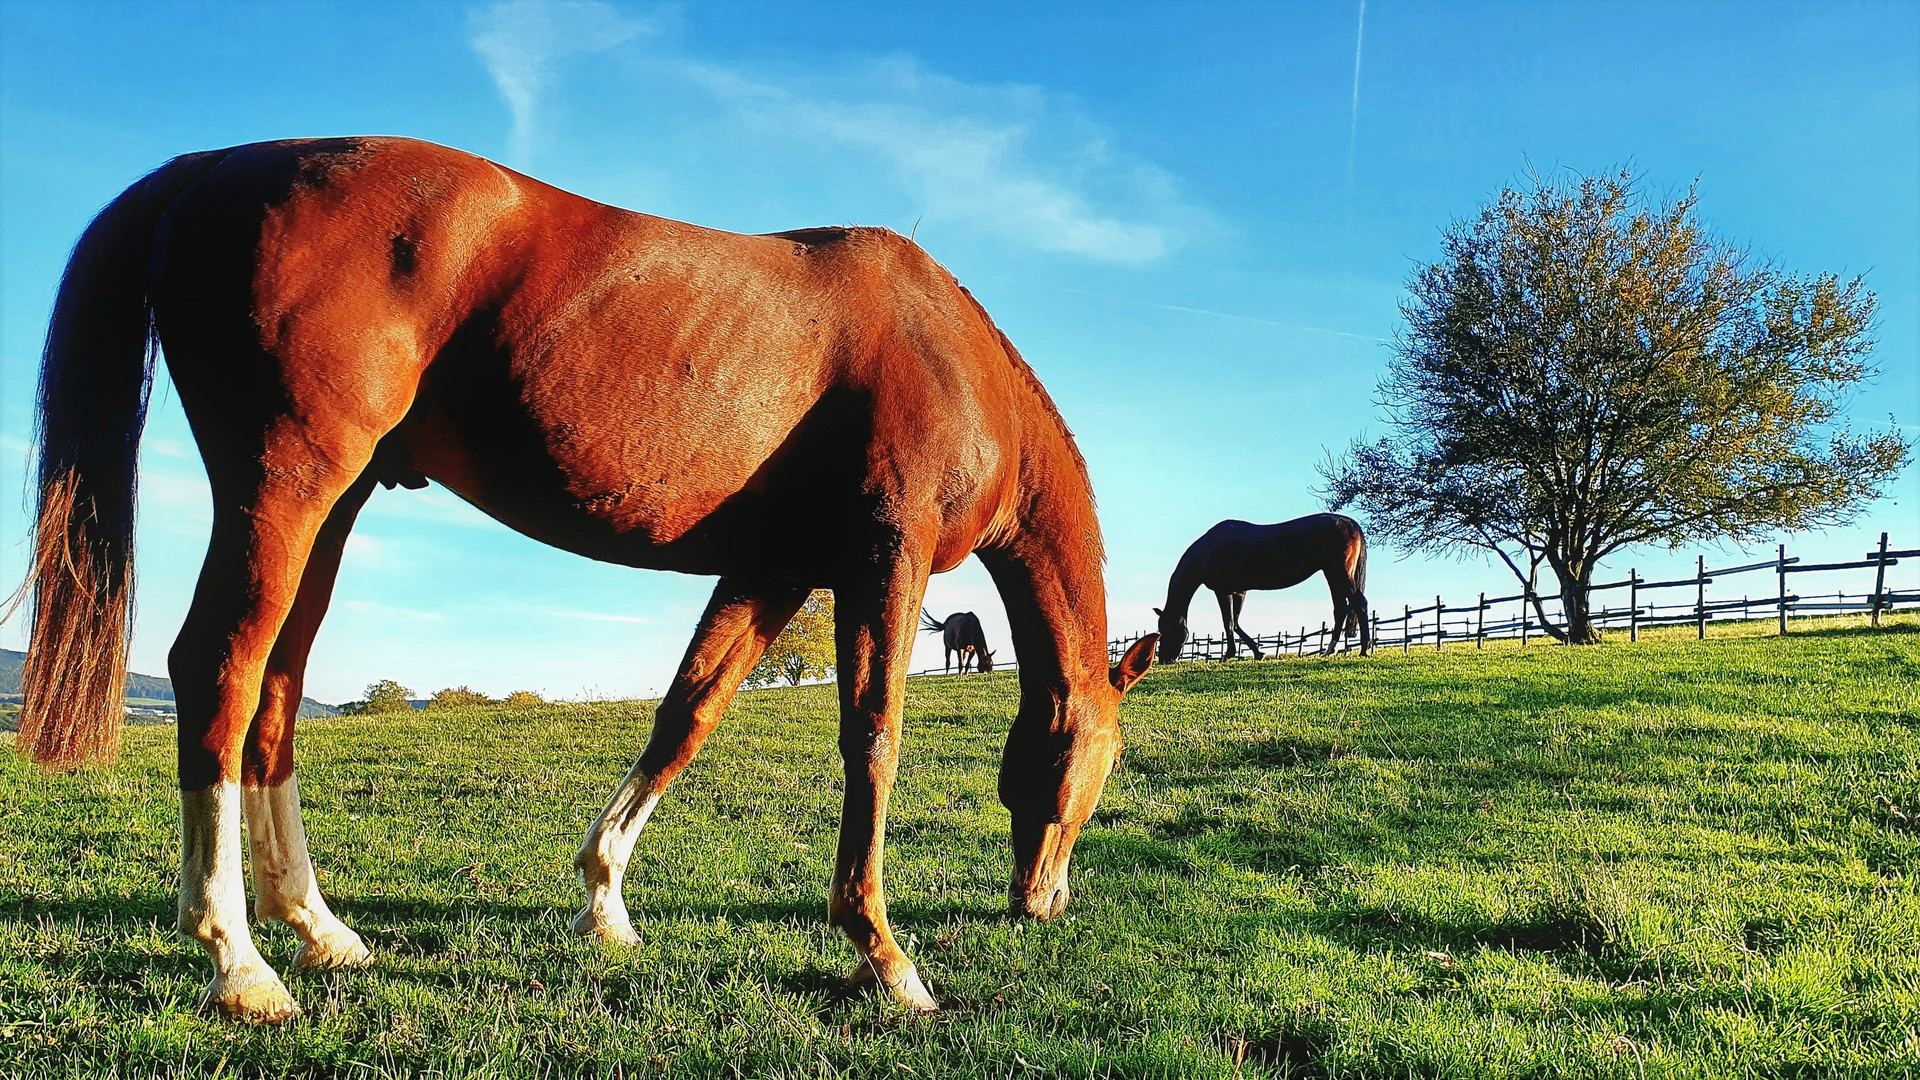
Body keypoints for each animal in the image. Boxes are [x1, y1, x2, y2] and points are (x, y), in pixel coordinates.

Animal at [18, 138, 1152, 1022]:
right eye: (1097, 760)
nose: (1043, 901)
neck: (950, 359)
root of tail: (214, 166)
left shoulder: (771, 568)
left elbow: (686, 716)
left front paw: (605, 902)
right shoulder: (885, 561)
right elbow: (872, 741)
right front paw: (884, 954)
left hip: (329, 510)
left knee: (277, 694)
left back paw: (319, 929)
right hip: (285, 487)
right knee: (216, 669)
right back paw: (239, 962)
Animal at [1144, 511, 1374, 657]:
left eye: (1166, 629)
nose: (1164, 659)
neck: (1206, 551)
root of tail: (1350, 522)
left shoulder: (1222, 591)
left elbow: (1228, 623)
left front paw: (1229, 655)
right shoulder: (1239, 591)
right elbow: (1236, 623)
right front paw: (1256, 652)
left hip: (1339, 573)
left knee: (1359, 604)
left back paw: (1364, 649)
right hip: (1332, 574)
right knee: (1340, 609)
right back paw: (1329, 650)